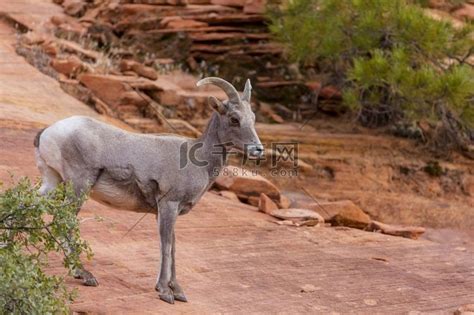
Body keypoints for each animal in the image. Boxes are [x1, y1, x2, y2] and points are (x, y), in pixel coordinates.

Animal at [33, 76, 262, 304]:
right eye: (234, 119)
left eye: (252, 117)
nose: (258, 149)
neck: (198, 160)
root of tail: (48, 132)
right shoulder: (168, 205)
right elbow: (166, 246)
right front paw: (164, 291)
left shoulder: (167, 211)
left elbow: (173, 247)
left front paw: (178, 291)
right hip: (79, 185)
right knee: (64, 219)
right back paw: (84, 274)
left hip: (53, 182)